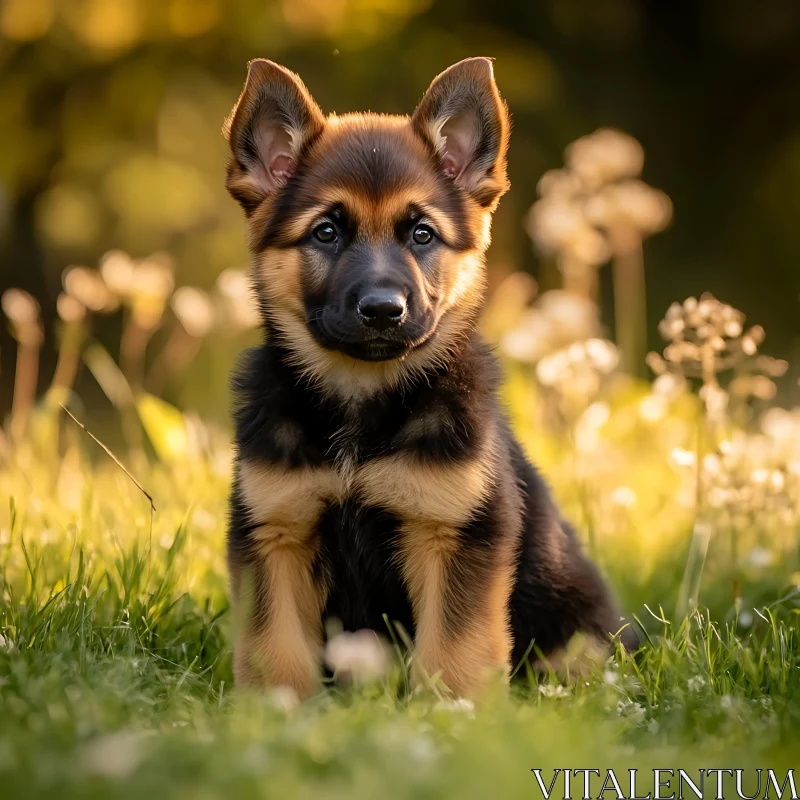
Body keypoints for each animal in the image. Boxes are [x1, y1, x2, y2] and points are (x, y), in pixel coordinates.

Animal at [222, 56, 628, 696]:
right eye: (326, 232)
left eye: (422, 234)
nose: (383, 310)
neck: (362, 402)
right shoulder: (277, 531)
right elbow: (275, 647)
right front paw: (275, 710)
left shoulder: (451, 533)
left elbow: (455, 648)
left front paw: (452, 712)